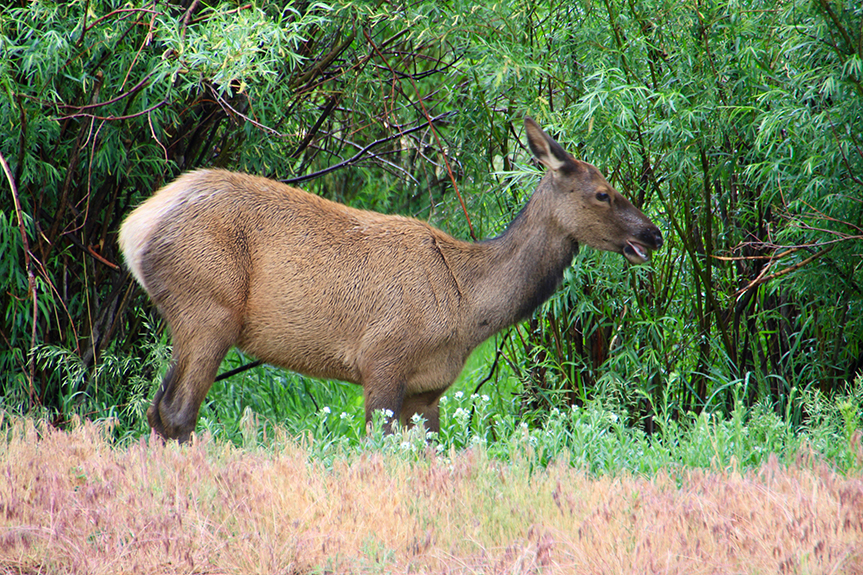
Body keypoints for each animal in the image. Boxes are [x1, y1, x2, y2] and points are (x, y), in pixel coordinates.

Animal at [118, 116, 664, 440]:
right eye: (603, 193)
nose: (654, 233)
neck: (469, 306)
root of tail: (134, 228)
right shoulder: (382, 357)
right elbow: (375, 448)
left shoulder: (430, 388)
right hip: (208, 307)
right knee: (178, 412)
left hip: (190, 317)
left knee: (156, 408)